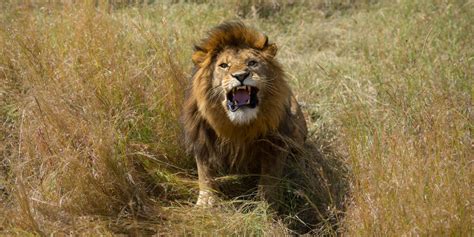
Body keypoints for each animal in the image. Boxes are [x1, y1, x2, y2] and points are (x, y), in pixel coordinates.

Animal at [181, 21, 308, 207]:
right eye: (224, 65)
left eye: (252, 63)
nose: (240, 75)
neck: (239, 126)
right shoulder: (202, 140)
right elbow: (204, 173)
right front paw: (206, 202)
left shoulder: (275, 144)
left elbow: (270, 178)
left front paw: (266, 205)